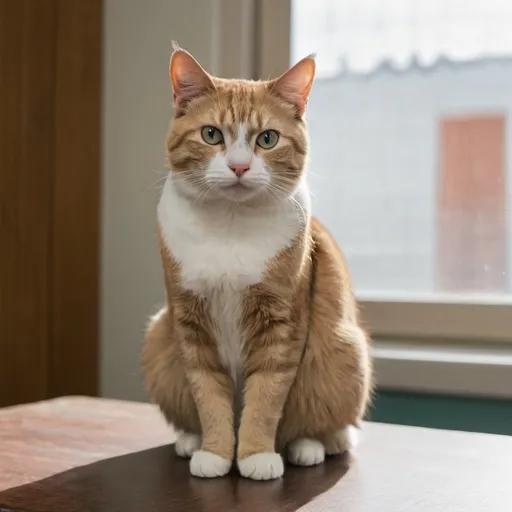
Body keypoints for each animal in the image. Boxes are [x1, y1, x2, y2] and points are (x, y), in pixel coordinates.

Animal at [142, 44, 374, 480]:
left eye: (267, 139)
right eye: (211, 134)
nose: (239, 166)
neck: (230, 228)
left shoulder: (281, 327)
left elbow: (266, 399)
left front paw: (255, 456)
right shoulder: (190, 325)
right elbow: (209, 397)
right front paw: (216, 452)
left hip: (344, 350)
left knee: (333, 429)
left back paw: (310, 446)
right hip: (160, 336)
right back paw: (190, 440)